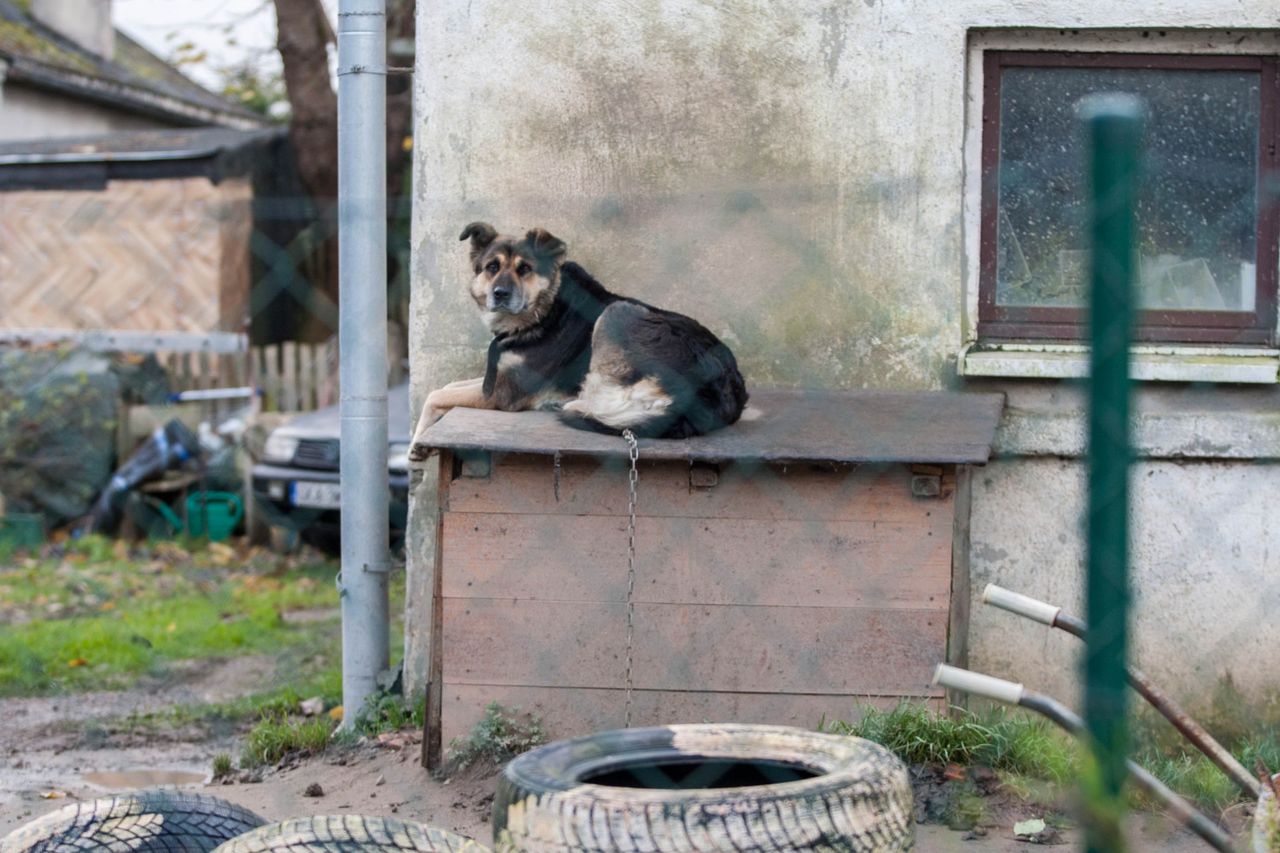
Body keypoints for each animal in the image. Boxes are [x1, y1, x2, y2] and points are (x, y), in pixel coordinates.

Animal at [427, 222, 747, 435]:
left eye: (525, 269)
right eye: (492, 267)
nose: (500, 294)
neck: (544, 312)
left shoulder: (503, 393)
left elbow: (434, 396)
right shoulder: (497, 376)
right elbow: (446, 386)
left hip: (618, 312)